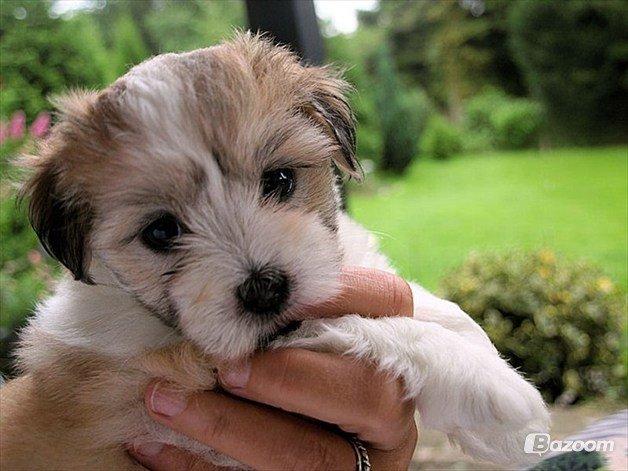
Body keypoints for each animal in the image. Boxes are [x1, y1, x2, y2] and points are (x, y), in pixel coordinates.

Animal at [0, 35, 548, 470]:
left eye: (280, 180)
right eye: (160, 232)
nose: (264, 289)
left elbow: (418, 302)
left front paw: (481, 351)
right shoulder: (173, 380)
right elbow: (353, 322)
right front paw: (494, 390)